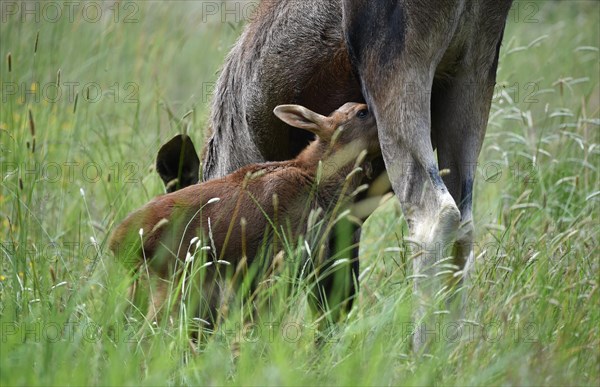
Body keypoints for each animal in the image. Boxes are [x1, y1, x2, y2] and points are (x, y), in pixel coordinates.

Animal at [157, 0, 512, 352]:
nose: (186, 337)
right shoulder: (347, 212)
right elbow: (340, 294)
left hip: (398, 66)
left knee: (434, 215)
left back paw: (421, 354)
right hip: (473, 71)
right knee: (464, 225)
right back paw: (449, 352)